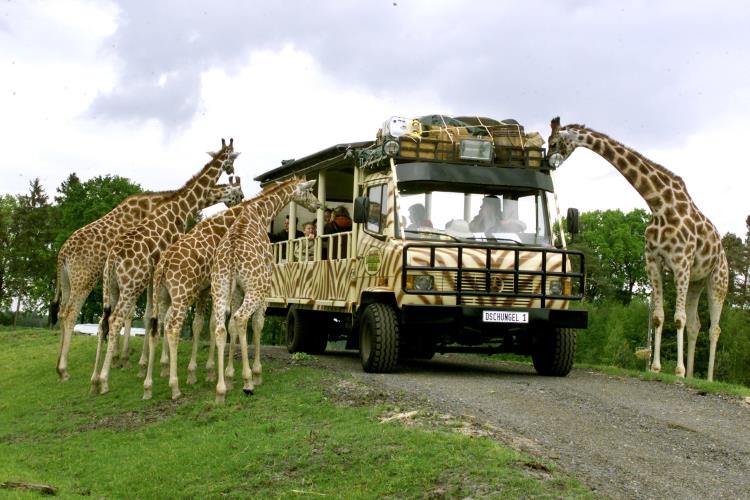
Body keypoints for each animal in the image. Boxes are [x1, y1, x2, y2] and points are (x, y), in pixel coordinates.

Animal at [90, 138, 241, 394]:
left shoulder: (156, 274)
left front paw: (152, 367)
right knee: (116, 320)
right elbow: (160, 317)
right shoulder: (160, 270)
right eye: (232, 159)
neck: (181, 207)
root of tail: (112, 261)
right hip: (131, 284)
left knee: (103, 322)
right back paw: (104, 380)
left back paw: (94, 378)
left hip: (110, 287)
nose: (241, 200)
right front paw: (161, 366)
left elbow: (154, 316)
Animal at [210, 176, 322, 402]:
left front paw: (229, 377)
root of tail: (232, 255)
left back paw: (220, 391)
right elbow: (258, 323)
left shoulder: (236, 290)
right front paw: (256, 373)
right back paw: (248, 383)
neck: (261, 213)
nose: (318, 205)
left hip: (220, 286)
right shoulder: (266, 285)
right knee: (242, 318)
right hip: (256, 287)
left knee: (222, 327)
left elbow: (232, 327)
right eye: (309, 191)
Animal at [548, 117, 732, 380]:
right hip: (697, 280)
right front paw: (657, 368)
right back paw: (691, 374)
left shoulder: (681, 263)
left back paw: (706, 378)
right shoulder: (653, 261)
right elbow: (658, 317)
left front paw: (677, 370)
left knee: (714, 328)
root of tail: (722, 252)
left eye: (554, 142)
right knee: (695, 324)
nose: (547, 162)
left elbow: (678, 319)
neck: (660, 204)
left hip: (717, 279)